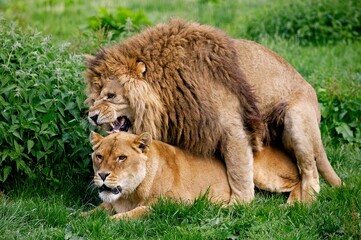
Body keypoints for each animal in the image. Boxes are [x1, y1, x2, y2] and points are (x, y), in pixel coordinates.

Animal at [85, 18, 340, 203]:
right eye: (94, 97)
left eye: (110, 96)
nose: (91, 116)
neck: (166, 92)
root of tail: (310, 89)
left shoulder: (233, 129)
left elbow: (238, 172)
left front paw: (239, 205)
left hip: (296, 120)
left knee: (310, 173)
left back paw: (300, 204)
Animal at [86, 131, 300, 219]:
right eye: (99, 156)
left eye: (122, 158)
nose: (102, 175)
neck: (129, 194)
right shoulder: (110, 203)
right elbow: (96, 210)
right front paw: (82, 217)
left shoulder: (177, 204)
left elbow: (141, 210)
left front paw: (111, 221)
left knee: (299, 181)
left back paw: (292, 204)